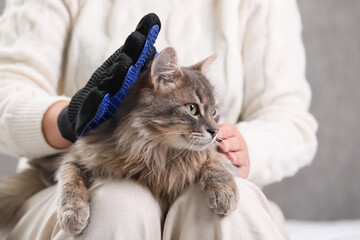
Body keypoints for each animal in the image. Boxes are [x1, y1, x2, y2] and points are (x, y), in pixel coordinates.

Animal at [0, 47, 239, 234]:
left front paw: (224, 193)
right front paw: (73, 212)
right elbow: (69, 179)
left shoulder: (213, 152)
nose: (215, 131)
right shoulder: (78, 154)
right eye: (192, 109)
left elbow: (215, 162)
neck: (158, 154)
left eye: (214, 111)